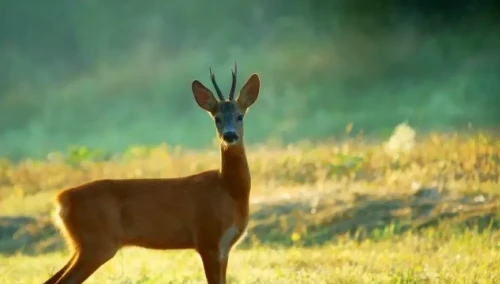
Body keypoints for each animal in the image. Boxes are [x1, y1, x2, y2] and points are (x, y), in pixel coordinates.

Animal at [44, 62, 262, 284]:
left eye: (240, 116)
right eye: (217, 118)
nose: (229, 135)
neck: (229, 190)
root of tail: (61, 200)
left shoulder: (223, 248)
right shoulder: (207, 240)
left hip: (83, 245)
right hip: (97, 243)